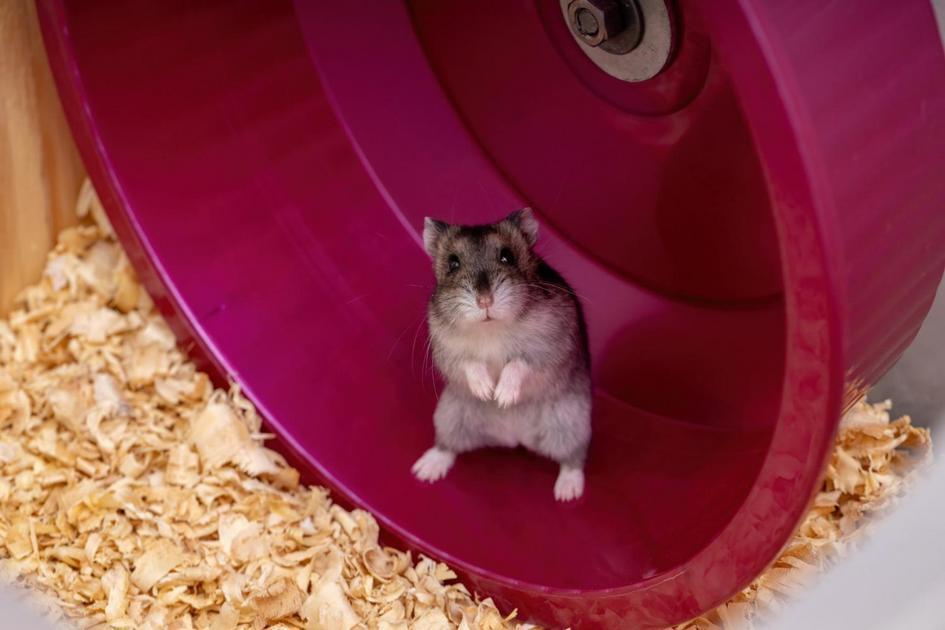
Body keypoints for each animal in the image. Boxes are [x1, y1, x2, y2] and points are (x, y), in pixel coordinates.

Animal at [411, 208, 592, 501]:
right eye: (453, 263)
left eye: (507, 256)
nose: (485, 301)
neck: (491, 328)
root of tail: (515, 437)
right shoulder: (448, 352)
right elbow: (471, 363)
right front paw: (487, 392)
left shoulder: (548, 347)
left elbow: (518, 363)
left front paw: (503, 397)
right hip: (449, 417)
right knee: (447, 447)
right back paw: (423, 471)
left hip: (571, 426)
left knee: (572, 460)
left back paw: (567, 494)